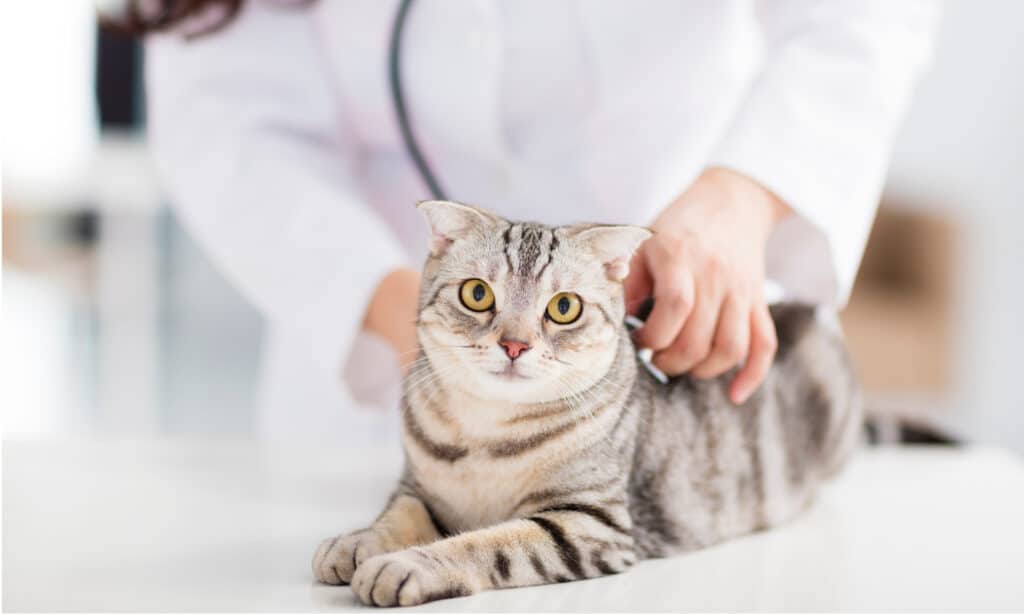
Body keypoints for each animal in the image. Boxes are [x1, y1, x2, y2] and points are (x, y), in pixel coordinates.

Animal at [311, 200, 864, 605]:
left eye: (563, 307)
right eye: (477, 294)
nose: (514, 345)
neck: (485, 435)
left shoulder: (588, 524)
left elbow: (486, 544)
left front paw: (406, 564)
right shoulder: (418, 487)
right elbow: (397, 515)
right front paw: (356, 541)